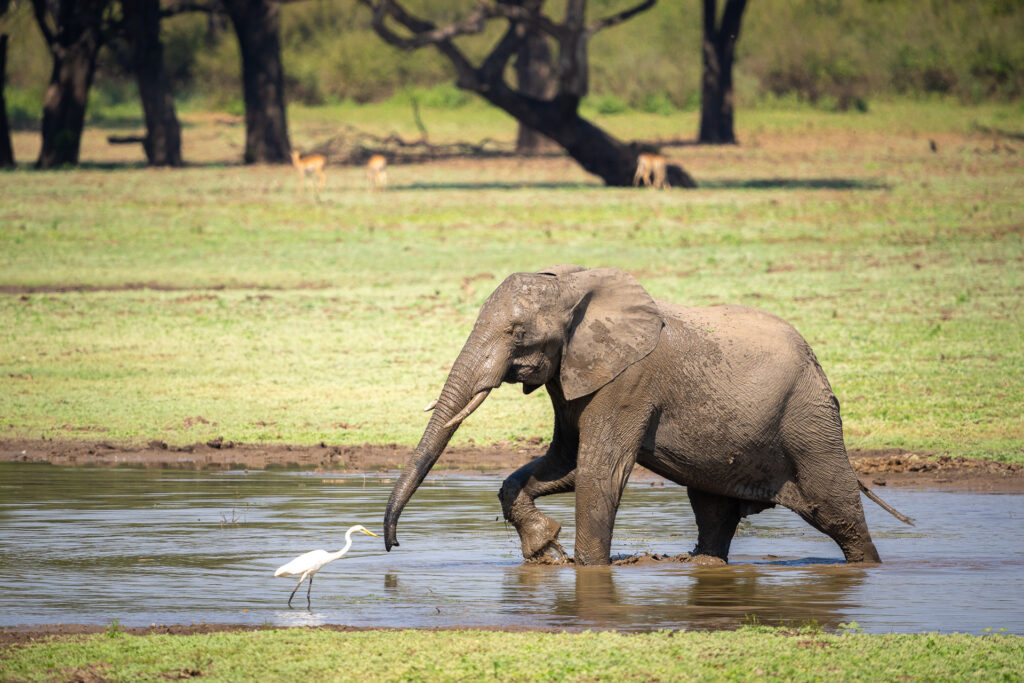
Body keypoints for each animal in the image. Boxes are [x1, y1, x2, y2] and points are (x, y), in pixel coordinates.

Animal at [383, 265, 911, 566]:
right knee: (714, 513)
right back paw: (702, 566)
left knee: (838, 512)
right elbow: (563, 463)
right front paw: (546, 549)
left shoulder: (629, 381)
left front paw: (587, 571)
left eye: (517, 332)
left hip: (810, 417)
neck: (576, 287)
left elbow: (599, 471)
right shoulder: (574, 373)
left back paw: (866, 567)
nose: (392, 547)